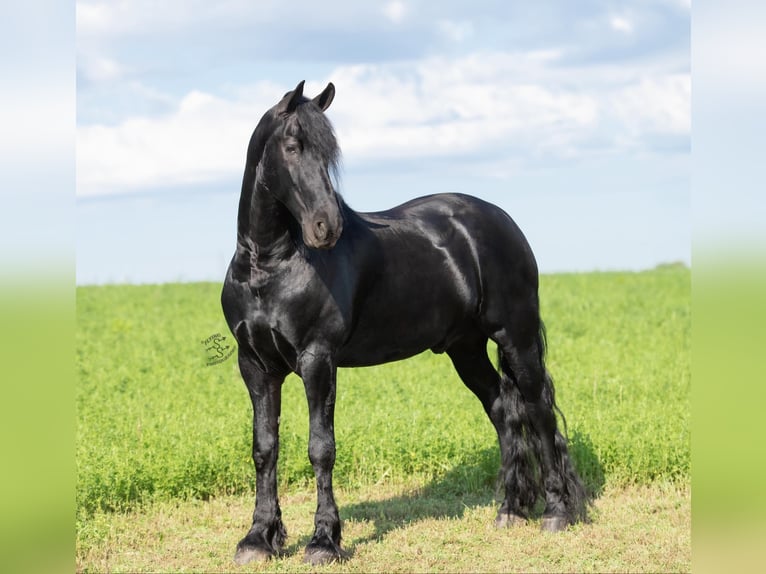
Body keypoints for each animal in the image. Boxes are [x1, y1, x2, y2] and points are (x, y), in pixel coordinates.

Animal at [221, 80, 588, 565]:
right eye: (293, 146)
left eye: (329, 155)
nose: (327, 227)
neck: (270, 266)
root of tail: (500, 220)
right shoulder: (256, 365)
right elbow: (264, 448)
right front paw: (258, 539)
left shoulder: (318, 361)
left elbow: (321, 448)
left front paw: (323, 541)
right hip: (465, 349)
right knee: (504, 411)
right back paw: (509, 510)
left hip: (517, 336)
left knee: (538, 411)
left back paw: (556, 512)